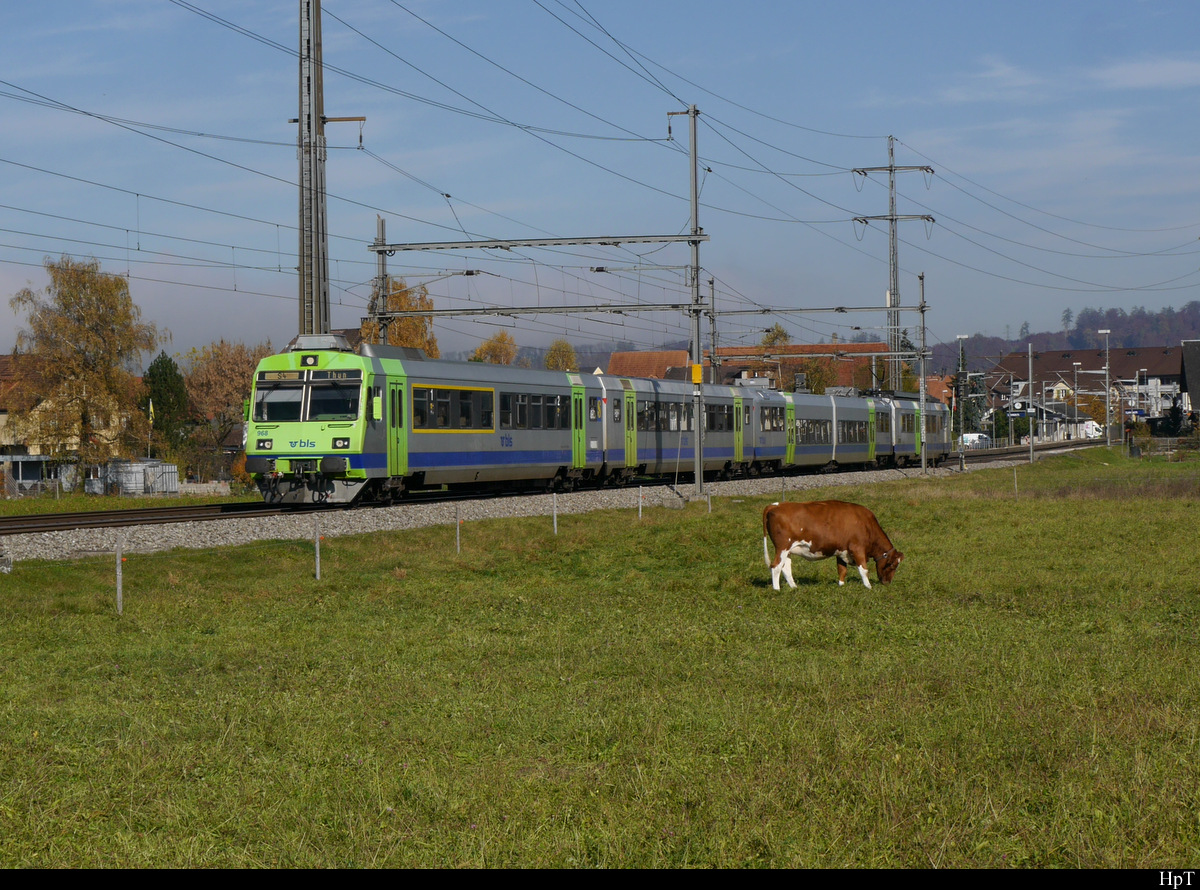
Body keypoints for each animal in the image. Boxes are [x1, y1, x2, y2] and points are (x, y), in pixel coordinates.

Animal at [763, 501, 902, 592]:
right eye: (893, 565)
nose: (887, 583)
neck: (867, 524)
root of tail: (776, 505)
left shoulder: (841, 551)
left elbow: (842, 570)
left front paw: (841, 586)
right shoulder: (857, 549)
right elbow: (863, 570)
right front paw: (868, 587)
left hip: (788, 550)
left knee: (785, 567)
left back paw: (794, 587)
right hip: (783, 547)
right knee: (776, 567)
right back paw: (777, 590)